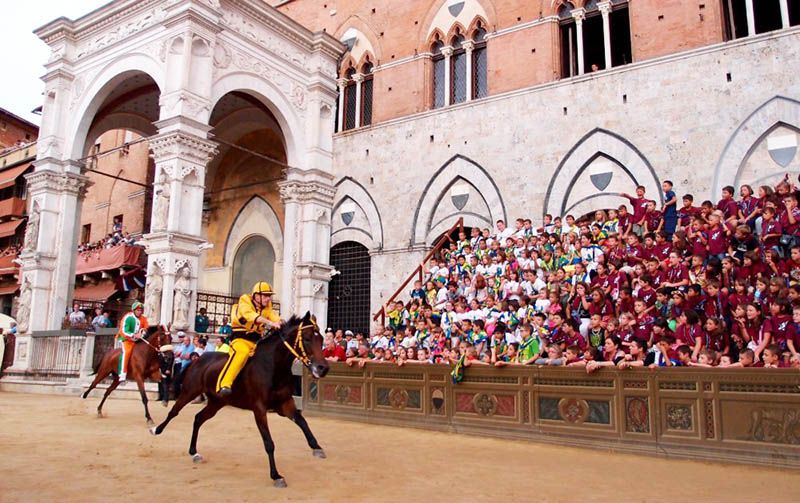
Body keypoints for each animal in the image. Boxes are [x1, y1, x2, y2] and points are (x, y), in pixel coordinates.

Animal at [152, 314, 330, 490]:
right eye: (307, 338)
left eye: (321, 338)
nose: (323, 368)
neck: (272, 366)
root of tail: (199, 359)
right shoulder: (259, 409)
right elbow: (269, 443)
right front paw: (276, 476)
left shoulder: (285, 404)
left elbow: (303, 422)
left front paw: (317, 447)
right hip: (190, 391)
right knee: (174, 412)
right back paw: (156, 429)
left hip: (216, 402)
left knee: (198, 418)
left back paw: (194, 452)